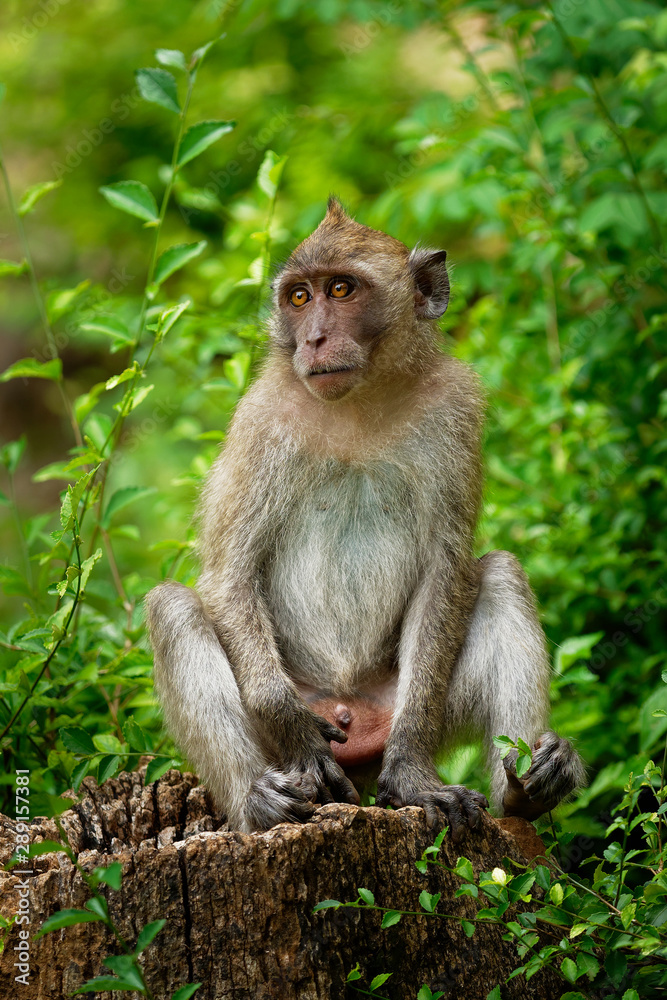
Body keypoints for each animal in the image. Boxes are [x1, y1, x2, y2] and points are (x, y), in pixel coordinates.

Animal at [146, 199, 584, 840]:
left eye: (341, 289)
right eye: (298, 297)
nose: (314, 338)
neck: (359, 402)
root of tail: (352, 716)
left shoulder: (455, 406)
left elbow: (446, 571)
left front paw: (414, 777)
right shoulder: (259, 422)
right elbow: (229, 576)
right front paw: (300, 740)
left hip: (400, 704)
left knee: (501, 573)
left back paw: (525, 788)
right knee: (172, 607)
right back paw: (258, 802)